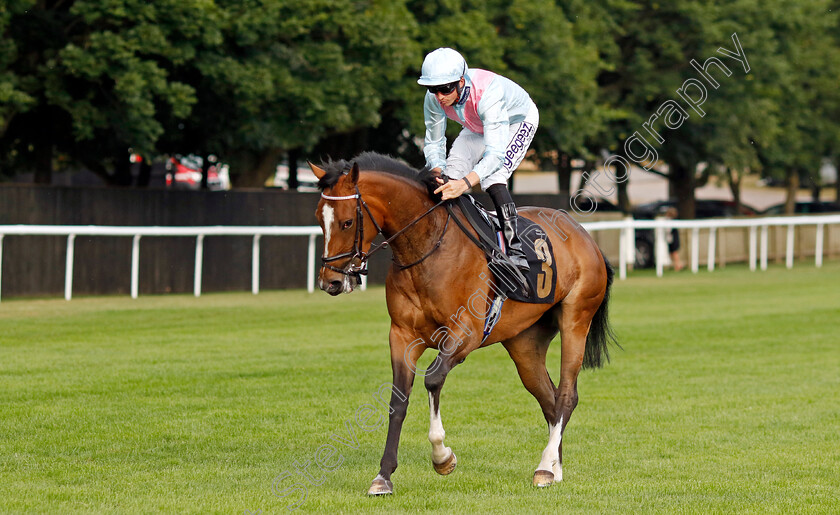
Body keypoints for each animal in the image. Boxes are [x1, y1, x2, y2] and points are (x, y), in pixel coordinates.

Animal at [308, 152, 616, 496]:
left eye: (347, 222)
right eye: (320, 218)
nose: (330, 282)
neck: (427, 247)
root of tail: (585, 235)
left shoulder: (464, 334)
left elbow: (432, 380)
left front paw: (442, 457)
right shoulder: (401, 335)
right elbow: (397, 400)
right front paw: (383, 476)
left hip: (576, 319)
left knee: (566, 395)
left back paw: (546, 467)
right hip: (524, 342)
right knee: (548, 398)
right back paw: (553, 467)